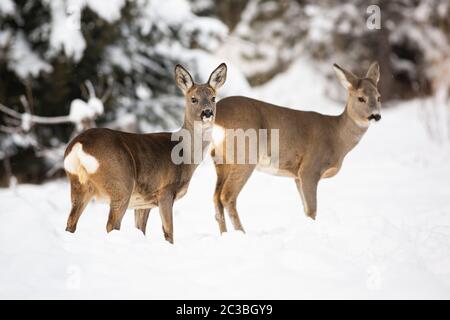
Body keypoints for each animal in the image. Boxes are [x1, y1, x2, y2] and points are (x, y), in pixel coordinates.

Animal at [64, 62, 225, 242]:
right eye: (193, 99)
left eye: (213, 98)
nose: (207, 112)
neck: (185, 156)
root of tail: (79, 145)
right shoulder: (165, 191)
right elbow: (169, 232)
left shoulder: (144, 202)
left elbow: (141, 230)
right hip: (121, 184)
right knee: (111, 225)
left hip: (78, 185)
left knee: (70, 223)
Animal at [213, 62, 382, 232]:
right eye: (361, 98)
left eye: (378, 97)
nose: (376, 116)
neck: (337, 137)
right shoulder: (309, 169)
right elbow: (312, 210)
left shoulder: (296, 176)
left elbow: (305, 209)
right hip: (245, 155)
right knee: (227, 196)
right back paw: (241, 233)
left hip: (220, 159)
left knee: (216, 196)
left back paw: (225, 234)